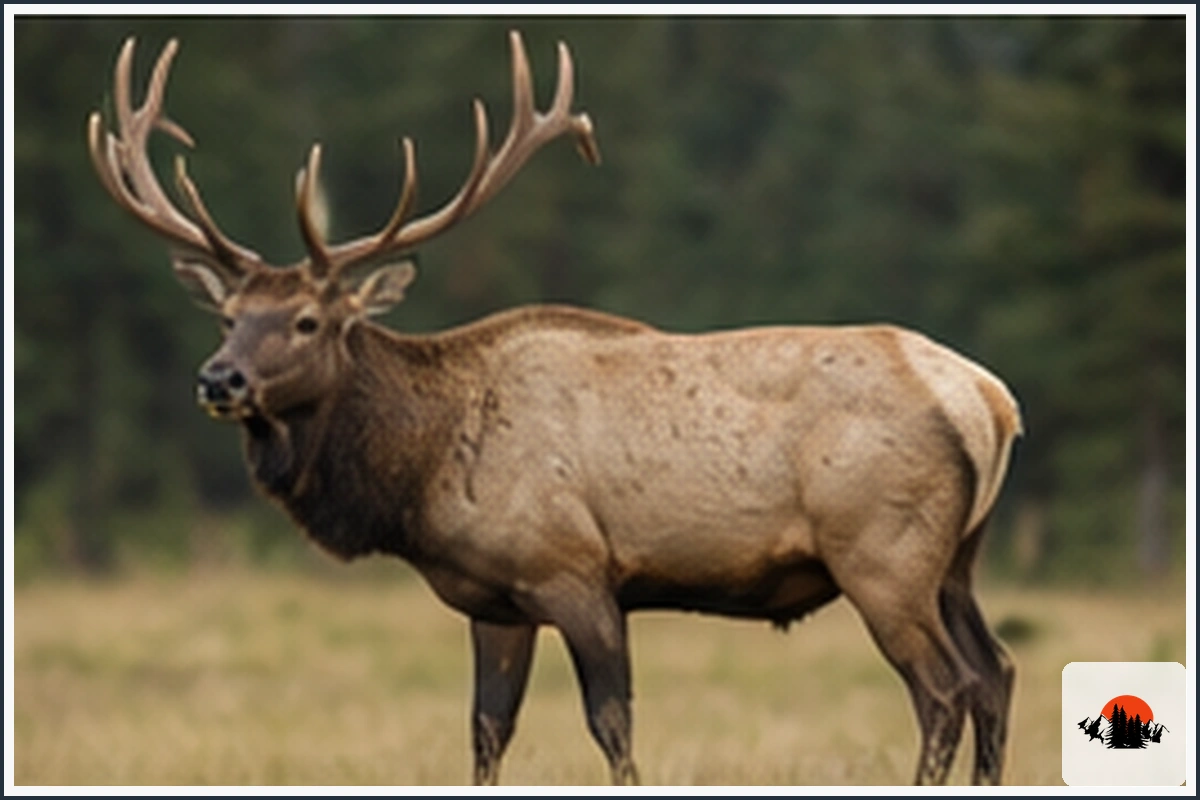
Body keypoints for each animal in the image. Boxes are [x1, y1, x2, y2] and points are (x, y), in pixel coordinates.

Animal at [87, 31, 1023, 786]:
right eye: (228, 318)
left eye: (309, 321)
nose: (219, 380)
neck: (421, 473)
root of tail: (991, 399)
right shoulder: (492, 601)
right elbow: (485, 730)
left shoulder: (572, 569)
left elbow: (611, 724)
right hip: (956, 560)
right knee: (998, 673)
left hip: (882, 552)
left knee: (943, 690)